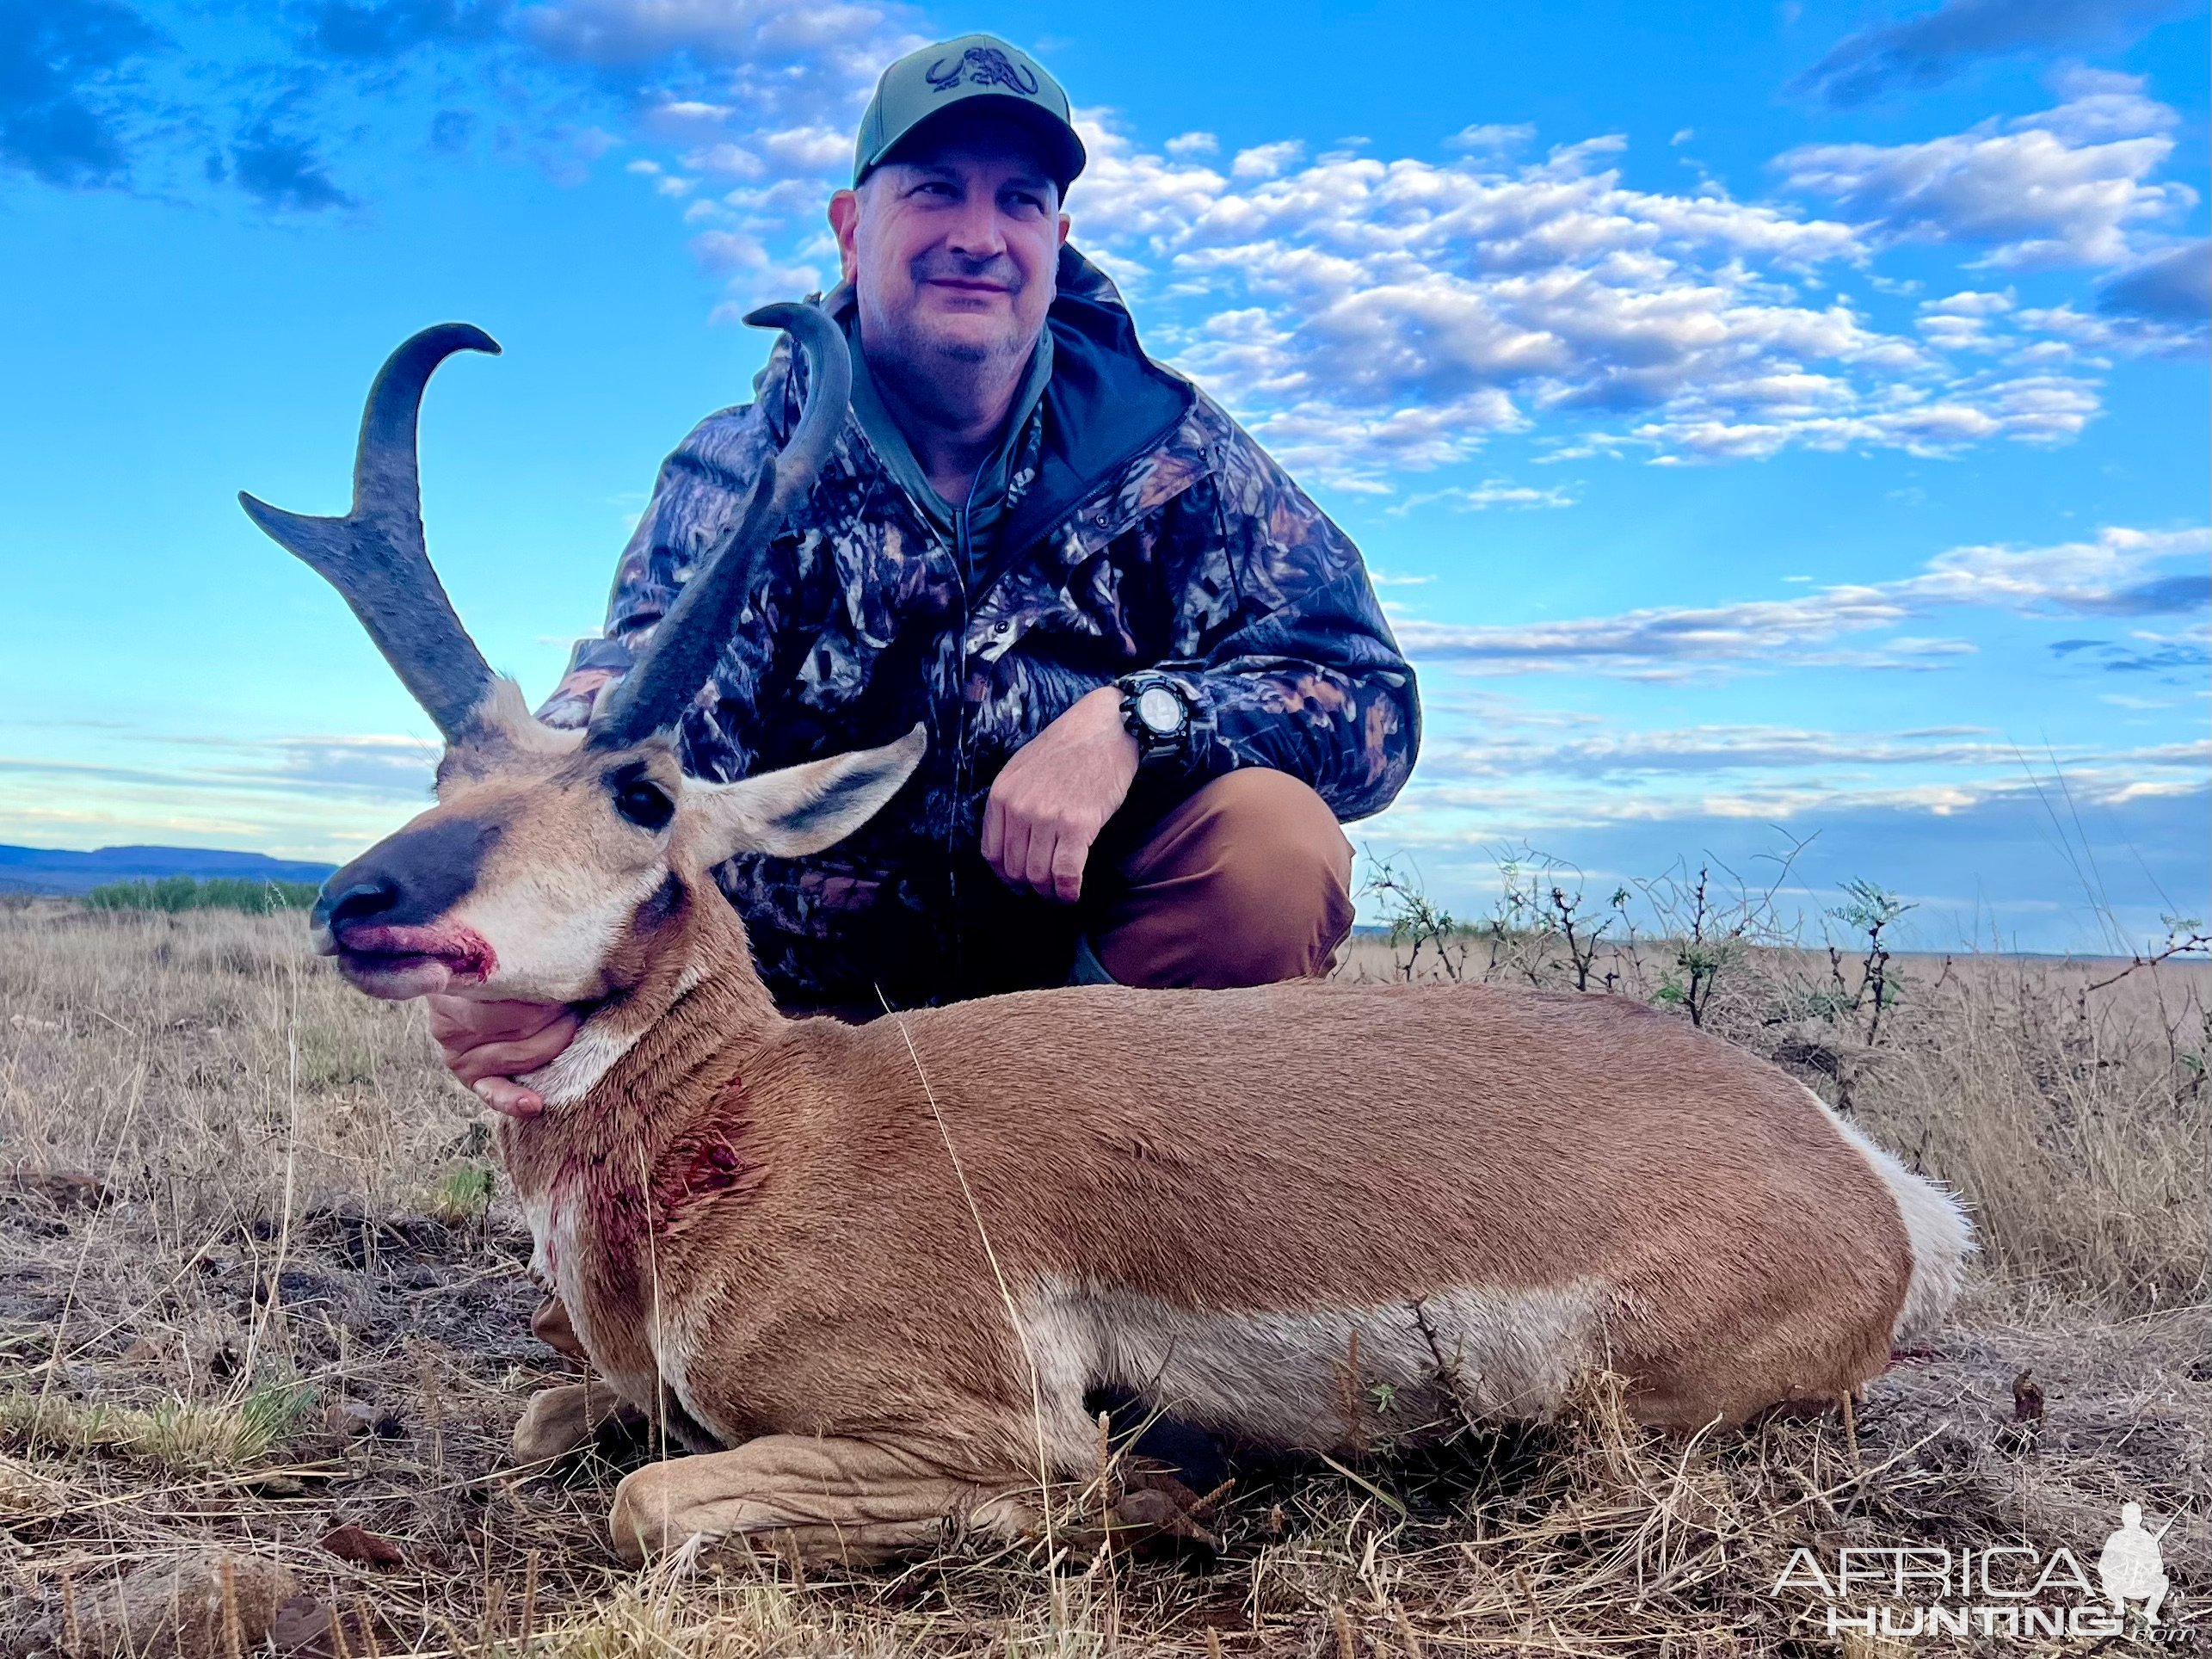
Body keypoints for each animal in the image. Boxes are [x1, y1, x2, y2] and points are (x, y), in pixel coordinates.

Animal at [237, 311, 1973, 1575]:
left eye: (643, 789)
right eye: (446, 778)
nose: (359, 903)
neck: (773, 1116)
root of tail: (1860, 1174)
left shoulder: (979, 1423)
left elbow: (650, 1495)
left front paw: (1142, 1497)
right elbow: (552, 1419)